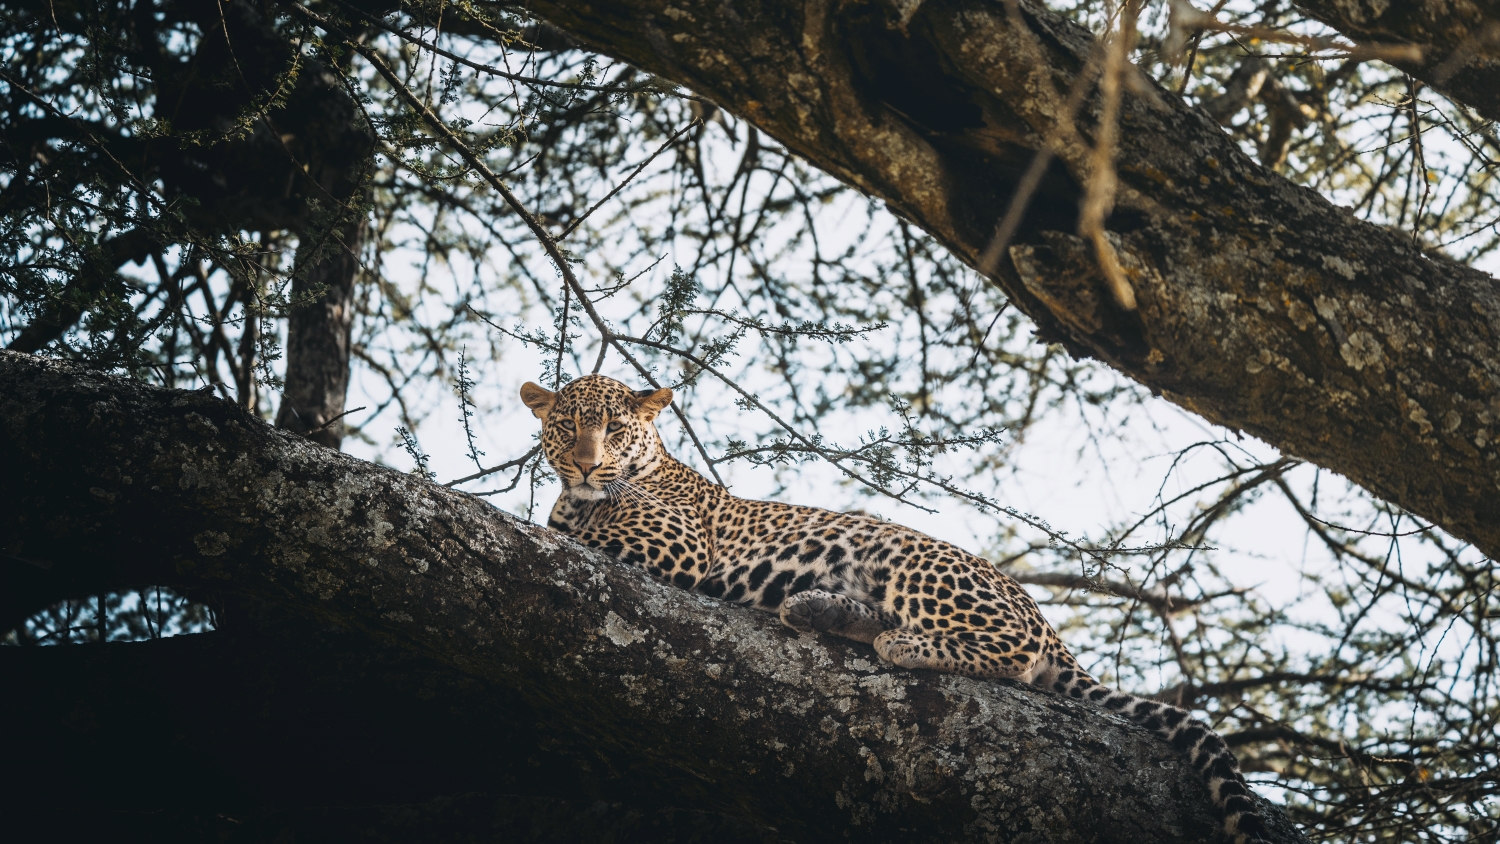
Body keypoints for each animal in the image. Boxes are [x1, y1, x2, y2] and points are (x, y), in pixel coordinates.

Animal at [521, 374, 1269, 843]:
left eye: (615, 430)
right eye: (565, 425)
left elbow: (575, 533)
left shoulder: (672, 545)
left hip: (914, 559)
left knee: (1013, 652)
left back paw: (894, 642)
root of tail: (1048, 621)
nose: (585, 465)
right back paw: (818, 609)